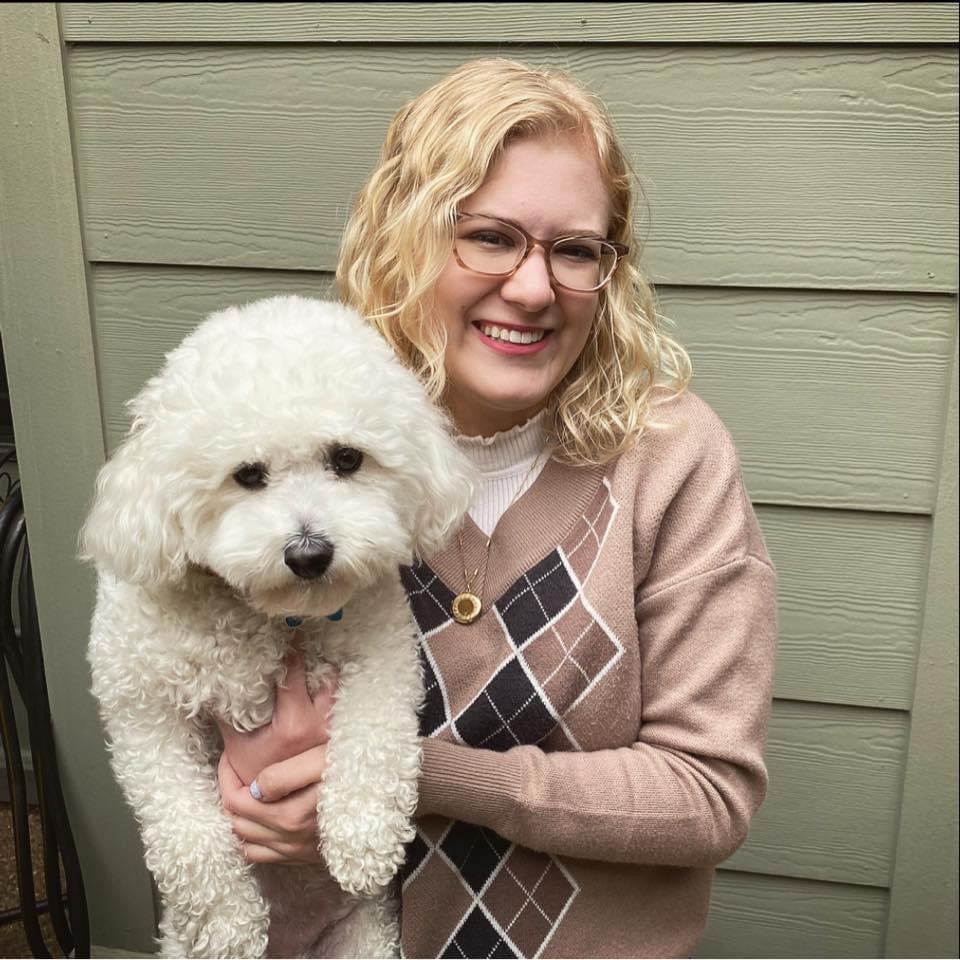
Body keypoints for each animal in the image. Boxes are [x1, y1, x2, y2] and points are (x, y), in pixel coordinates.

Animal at [81, 296, 472, 956]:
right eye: (247, 474)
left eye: (347, 458)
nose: (309, 553)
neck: (269, 614)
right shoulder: (143, 710)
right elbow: (184, 826)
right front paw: (228, 922)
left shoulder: (383, 652)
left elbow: (374, 740)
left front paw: (362, 837)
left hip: (365, 937)